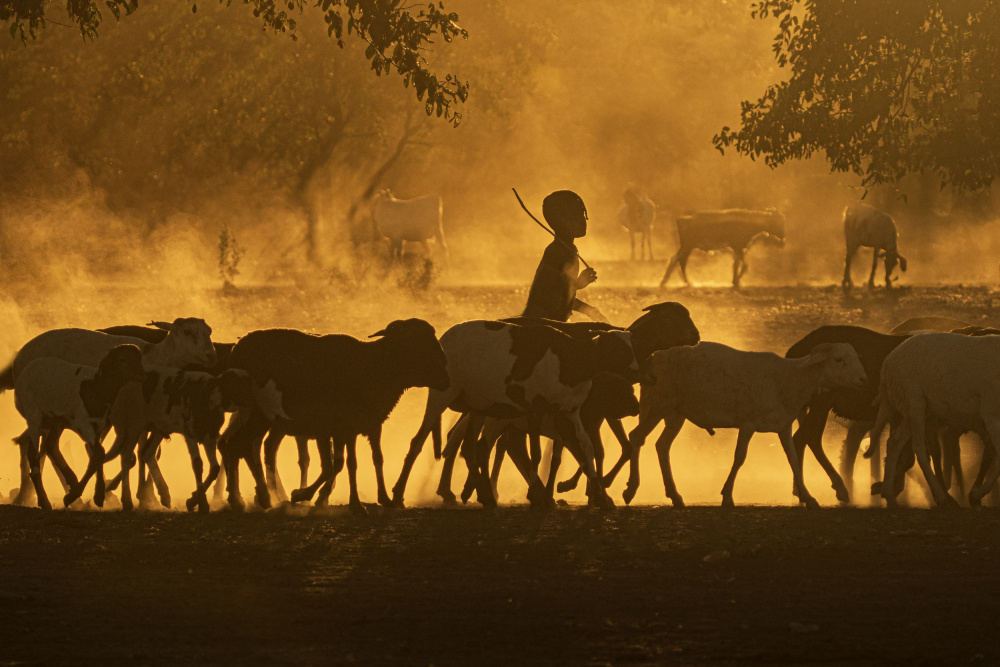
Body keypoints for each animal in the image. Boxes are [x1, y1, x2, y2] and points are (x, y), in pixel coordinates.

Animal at [222, 320, 450, 516]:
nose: (446, 379)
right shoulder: (335, 428)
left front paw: (381, 500)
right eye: (416, 343)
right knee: (241, 445)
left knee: (240, 445)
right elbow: (338, 465)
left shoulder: (367, 425)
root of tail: (238, 346)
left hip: (262, 417)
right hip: (258, 413)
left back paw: (242, 500)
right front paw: (304, 495)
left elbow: (369, 460)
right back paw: (260, 497)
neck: (374, 367)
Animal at [386, 320, 636, 508]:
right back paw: (398, 495)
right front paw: (536, 496)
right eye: (619, 349)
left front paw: (601, 496)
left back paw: (484, 495)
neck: (570, 362)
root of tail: (445, 336)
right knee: (418, 441)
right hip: (442, 394)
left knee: (470, 447)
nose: (637, 371)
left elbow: (586, 448)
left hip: (478, 405)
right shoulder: (535, 407)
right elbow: (536, 453)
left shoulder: (569, 410)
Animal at [624, 342, 868, 508]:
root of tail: (654, 357)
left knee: (662, 446)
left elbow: (793, 460)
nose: (863, 379)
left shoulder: (783, 426)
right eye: (838, 359)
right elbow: (740, 457)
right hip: (657, 404)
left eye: (855, 356)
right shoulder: (748, 423)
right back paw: (630, 490)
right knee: (636, 437)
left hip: (676, 413)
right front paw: (727, 496)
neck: (790, 379)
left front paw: (809, 498)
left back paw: (675, 495)